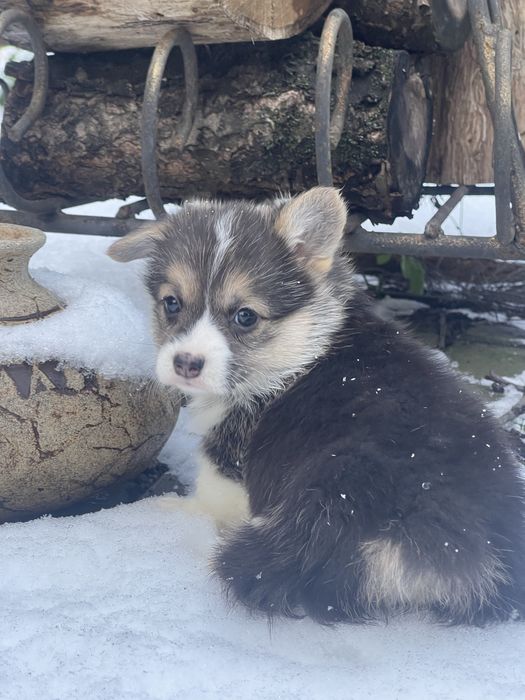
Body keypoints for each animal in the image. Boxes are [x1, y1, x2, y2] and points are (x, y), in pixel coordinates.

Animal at [108, 186, 525, 625]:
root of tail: (453, 553)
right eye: (171, 303)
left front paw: (174, 509)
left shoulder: (230, 458)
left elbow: (209, 497)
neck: (303, 348)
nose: (186, 363)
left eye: (245, 316)